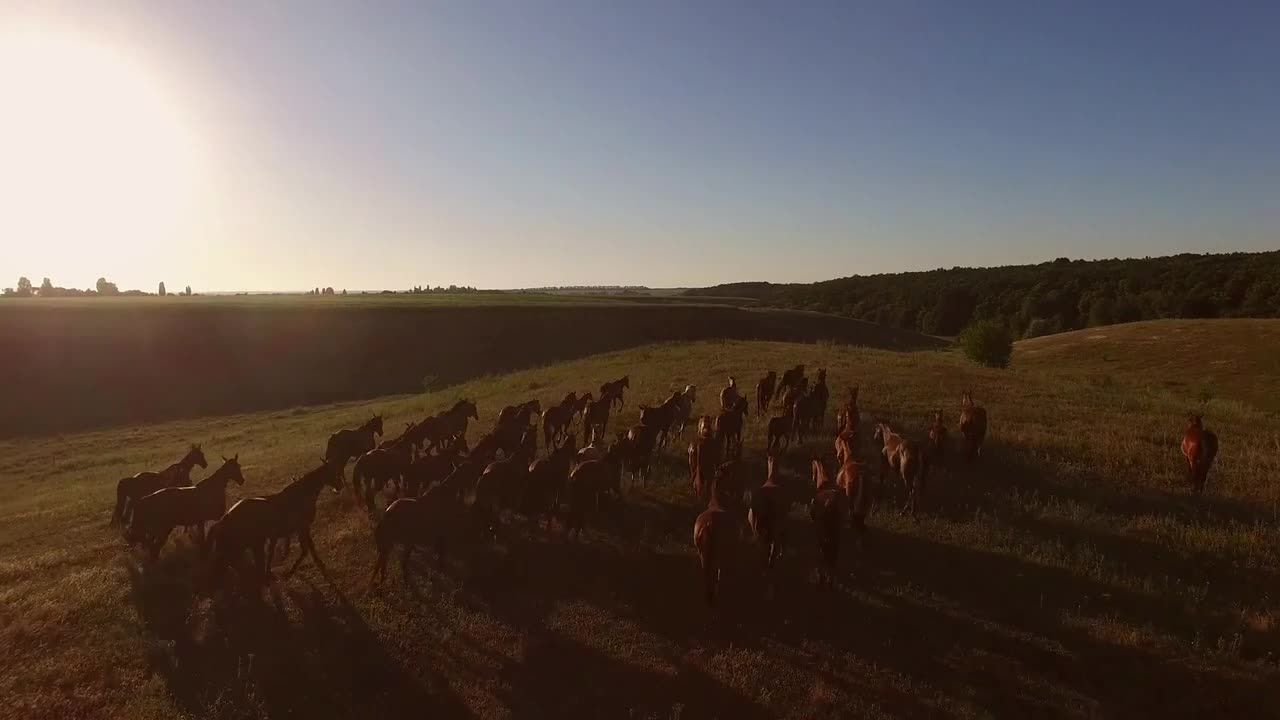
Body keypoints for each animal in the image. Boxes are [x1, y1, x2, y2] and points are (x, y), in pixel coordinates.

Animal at [207, 456, 345, 586]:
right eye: (332, 471)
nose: (339, 486)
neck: (300, 495)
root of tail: (226, 517)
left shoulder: (301, 529)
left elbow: (311, 550)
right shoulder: (302, 528)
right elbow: (306, 550)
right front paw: (290, 573)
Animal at [803, 456, 844, 586]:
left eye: (812, 465)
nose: (812, 477)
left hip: (824, 533)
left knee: (825, 553)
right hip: (836, 533)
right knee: (833, 556)